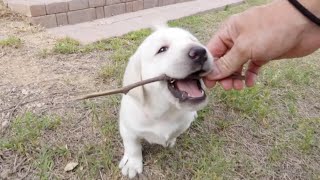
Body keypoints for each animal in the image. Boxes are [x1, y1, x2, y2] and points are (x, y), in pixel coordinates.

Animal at [119, 26, 214, 178]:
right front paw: (132, 163)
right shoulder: (127, 127)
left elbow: (175, 132)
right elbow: (132, 145)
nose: (200, 52)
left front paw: (170, 140)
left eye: (193, 40)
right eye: (162, 49)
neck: (164, 110)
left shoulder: (183, 124)